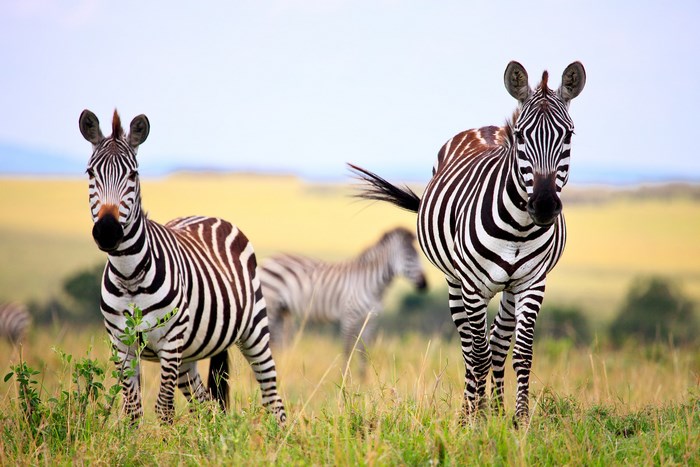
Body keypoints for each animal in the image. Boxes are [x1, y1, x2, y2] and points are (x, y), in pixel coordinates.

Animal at [79, 109, 286, 424]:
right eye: (90, 173)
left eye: (133, 174)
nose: (107, 231)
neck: (129, 275)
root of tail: (209, 216)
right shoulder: (121, 344)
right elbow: (132, 410)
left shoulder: (170, 340)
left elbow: (164, 409)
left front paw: (164, 438)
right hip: (189, 357)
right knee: (207, 406)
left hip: (254, 329)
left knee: (272, 396)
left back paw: (280, 433)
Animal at [259, 227, 427, 375]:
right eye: (409, 256)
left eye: (419, 255)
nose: (424, 285)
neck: (373, 285)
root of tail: (267, 260)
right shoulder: (349, 316)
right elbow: (347, 349)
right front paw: (344, 378)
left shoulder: (370, 320)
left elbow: (363, 351)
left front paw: (363, 379)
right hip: (270, 306)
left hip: (282, 310)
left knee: (277, 343)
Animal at [349, 61, 585, 424]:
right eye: (521, 135)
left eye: (569, 135)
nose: (544, 205)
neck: (518, 229)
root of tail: (484, 128)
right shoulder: (473, 286)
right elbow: (477, 354)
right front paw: (474, 420)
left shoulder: (533, 283)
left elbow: (521, 352)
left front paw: (518, 420)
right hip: (455, 282)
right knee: (470, 347)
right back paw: (472, 410)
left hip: (509, 288)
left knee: (498, 343)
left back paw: (497, 409)